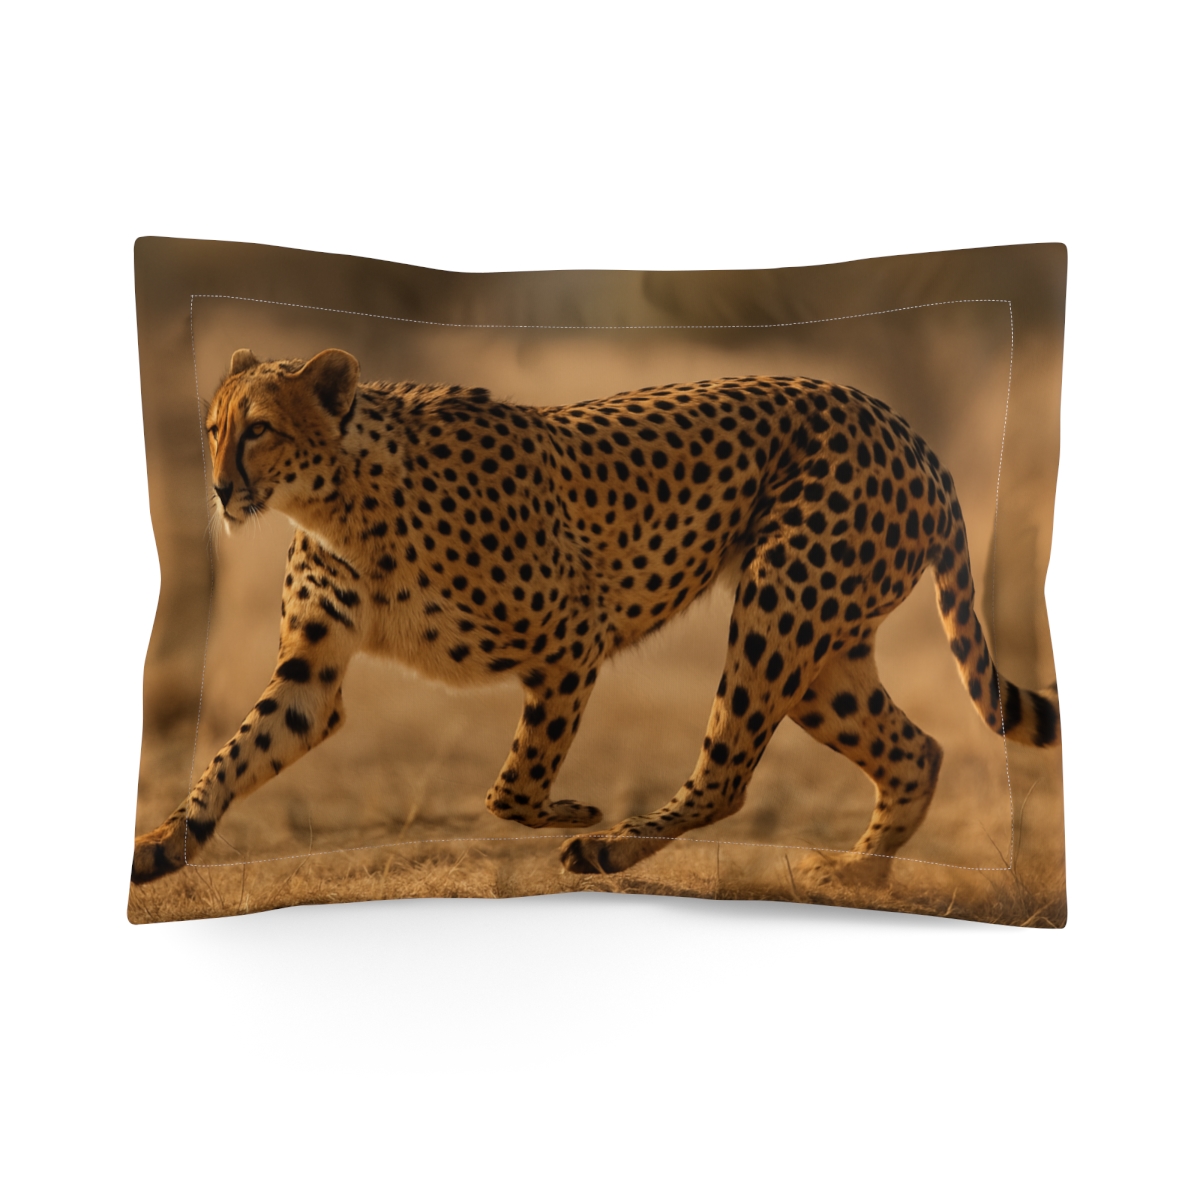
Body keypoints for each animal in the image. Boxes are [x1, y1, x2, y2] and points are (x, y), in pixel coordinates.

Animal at [131, 347, 1060, 888]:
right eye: (211, 428)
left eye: (257, 430)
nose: (219, 489)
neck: (341, 501)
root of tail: (902, 427)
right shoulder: (314, 673)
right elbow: (234, 753)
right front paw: (164, 845)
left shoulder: (573, 637)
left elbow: (513, 782)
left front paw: (574, 813)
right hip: (824, 657)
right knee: (917, 749)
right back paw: (860, 874)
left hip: (780, 604)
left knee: (730, 771)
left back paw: (609, 846)